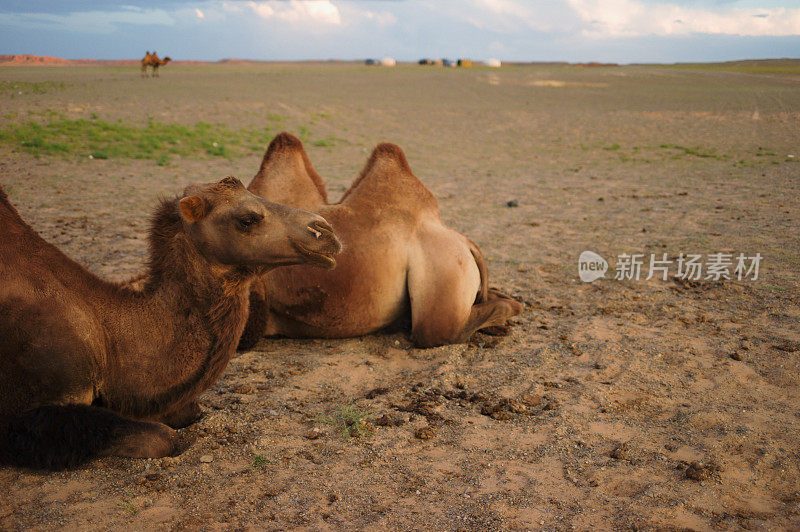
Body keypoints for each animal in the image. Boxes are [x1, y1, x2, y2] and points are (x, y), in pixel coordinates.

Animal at [0, 177, 340, 468]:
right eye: (246, 219)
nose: (326, 232)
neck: (106, 341)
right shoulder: (20, 413)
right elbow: (162, 439)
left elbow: (190, 411)